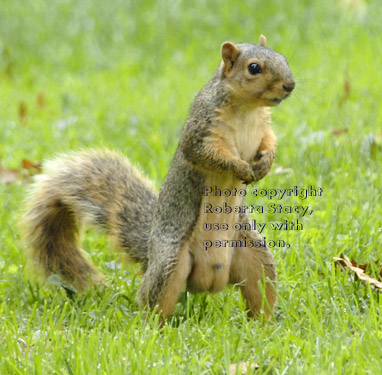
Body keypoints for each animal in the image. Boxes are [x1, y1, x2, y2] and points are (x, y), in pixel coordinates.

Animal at [22, 36, 296, 320]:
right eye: (254, 68)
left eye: (283, 58)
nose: (290, 85)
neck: (248, 109)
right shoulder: (201, 130)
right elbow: (209, 154)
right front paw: (240, 167)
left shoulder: (263, 128)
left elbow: (270, 142)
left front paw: (265, 163)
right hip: (170, 263)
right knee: (153, 299)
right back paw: (154, 325)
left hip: (255, 256)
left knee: (260, 291)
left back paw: (263, 323)